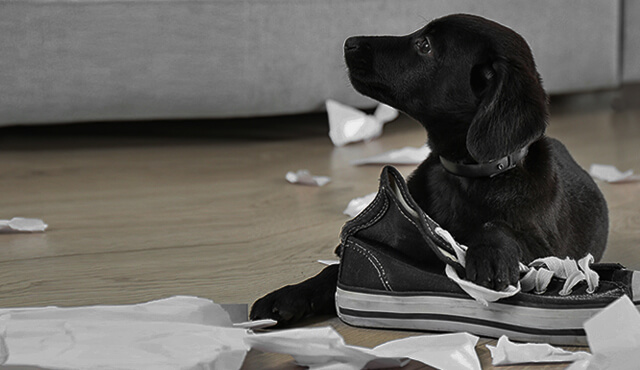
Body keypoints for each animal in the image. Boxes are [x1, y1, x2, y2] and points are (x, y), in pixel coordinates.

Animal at [250, 14, 608, 326]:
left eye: (424, 46)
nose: (349, 42)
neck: (465, 173)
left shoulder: (550, 252)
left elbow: (497, 225)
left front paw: (490, 254)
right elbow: (334, 270)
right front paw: (293, 295)